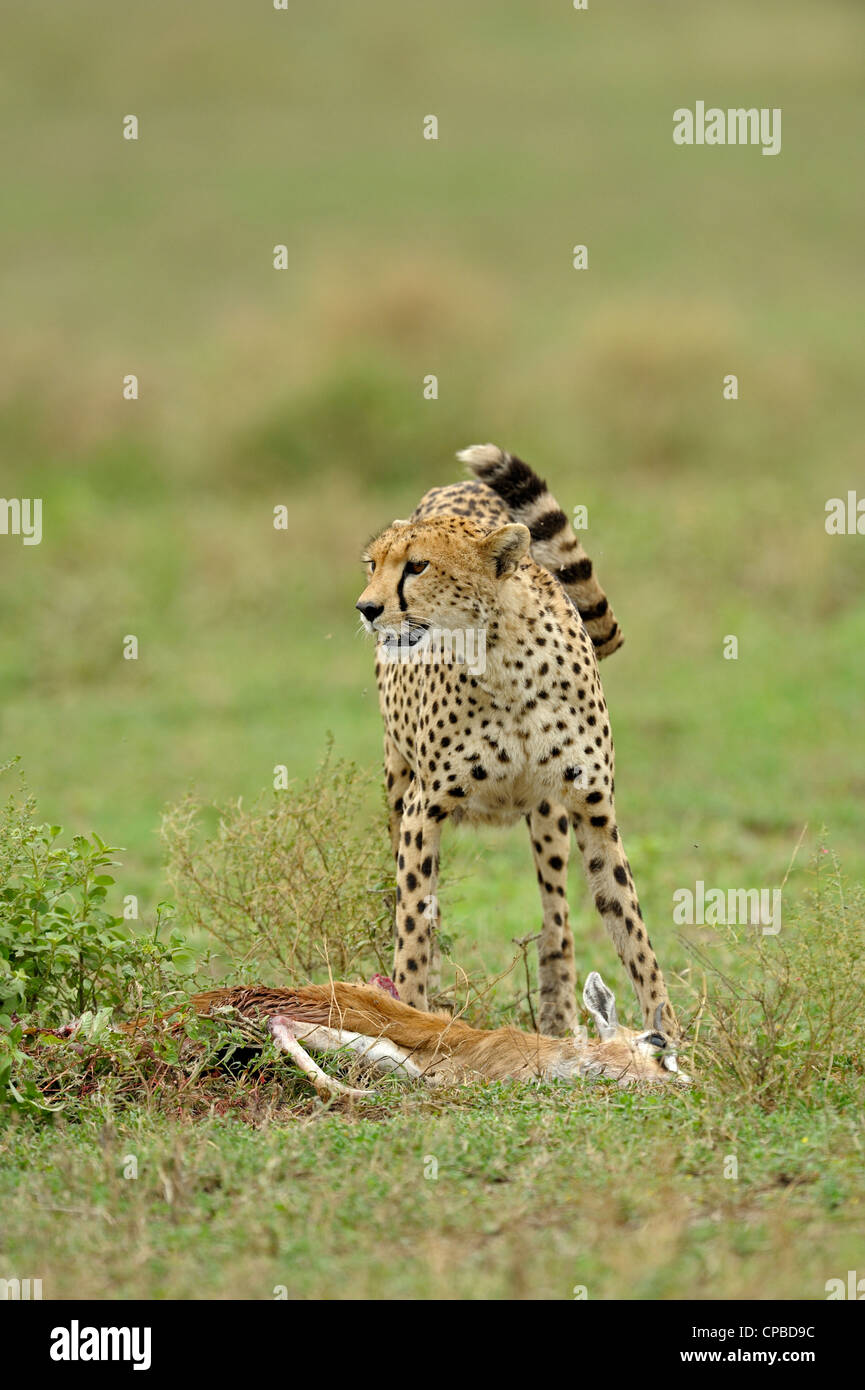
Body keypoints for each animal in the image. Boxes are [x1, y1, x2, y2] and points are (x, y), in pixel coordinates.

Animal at [356, 444, 681, 1045]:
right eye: (373, 565)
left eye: (418, 566)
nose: (366, 609)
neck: (503, 659)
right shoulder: (421, 809)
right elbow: (412, 926)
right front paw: (410, 1013)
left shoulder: (594, 808)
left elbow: (632, 928)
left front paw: (670, 1038)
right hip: (395, 786)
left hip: (549, 817)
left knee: (557, 917)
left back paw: (558, 1013)